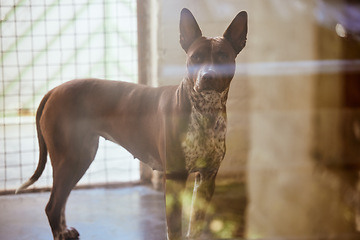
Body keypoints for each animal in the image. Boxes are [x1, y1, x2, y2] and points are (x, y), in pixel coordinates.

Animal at [16, 7, 248, 240]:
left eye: (223, 57)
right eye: (195, 58)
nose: (208, 76)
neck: (204, 112)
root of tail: (54, 90)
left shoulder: (207, 177)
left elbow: (196, 225)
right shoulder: (175, 178)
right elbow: (174, 228)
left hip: (82, 156)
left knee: (61, 201)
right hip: (71, 160)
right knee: (53, 206)